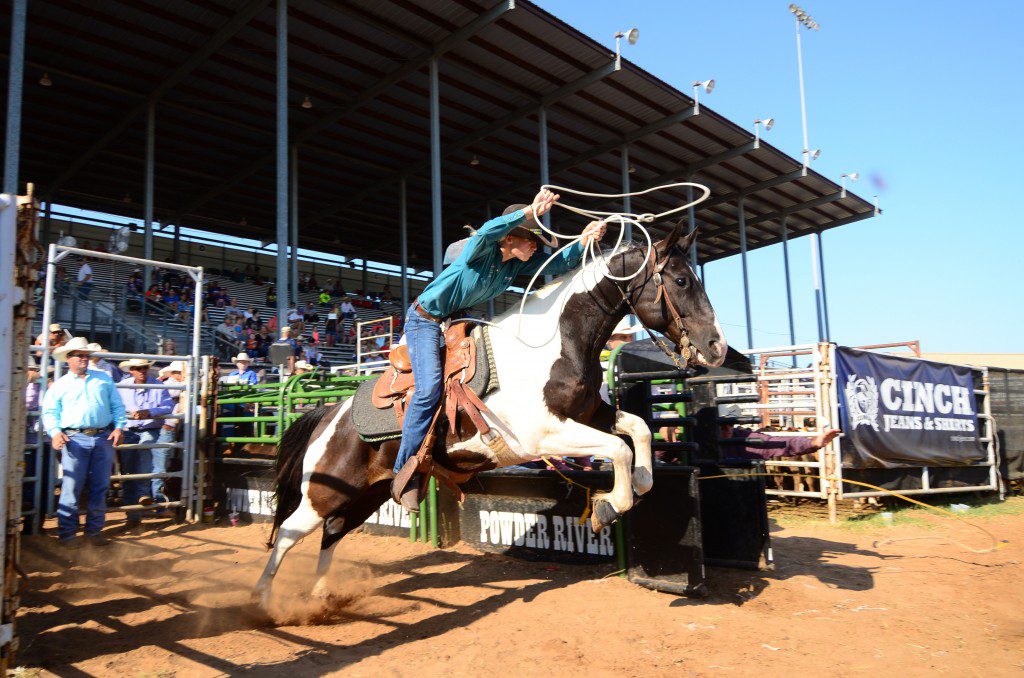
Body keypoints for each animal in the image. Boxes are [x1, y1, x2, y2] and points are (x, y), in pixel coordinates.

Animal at [250, 224, 724, 610]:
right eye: (681, 280)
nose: (717, 347)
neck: (553, 342)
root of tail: (329, 413)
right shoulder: (541, 436)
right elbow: (617, 449)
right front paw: (611, 505)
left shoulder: (590, 412)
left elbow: (637, 430)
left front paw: (641, 482)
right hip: (322, 492)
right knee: (289, 532)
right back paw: (263, 603)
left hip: (366, 494)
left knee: (332, 531)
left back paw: (321, 597)